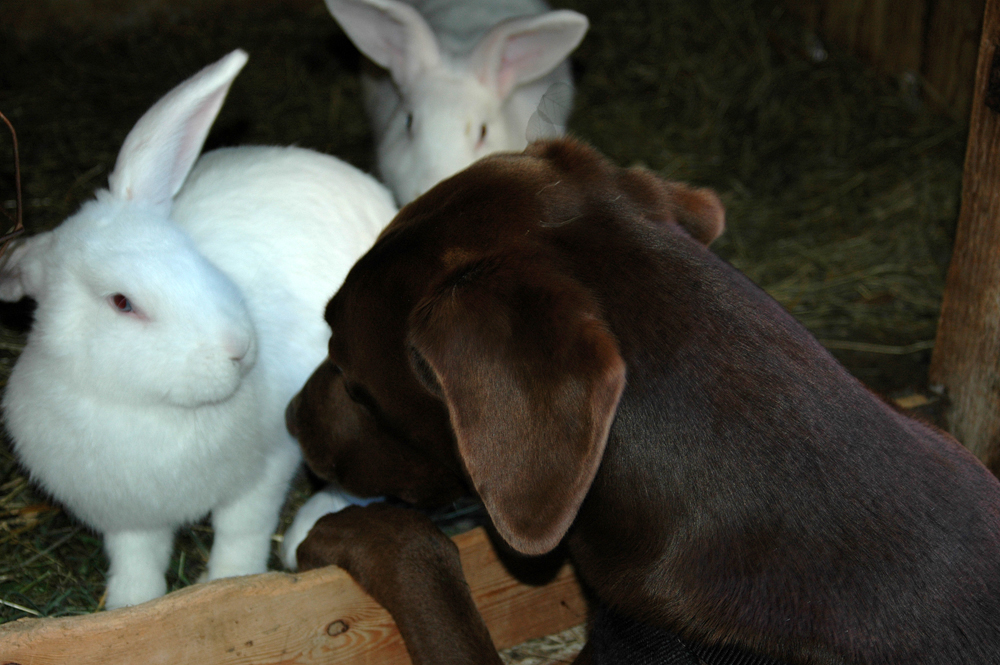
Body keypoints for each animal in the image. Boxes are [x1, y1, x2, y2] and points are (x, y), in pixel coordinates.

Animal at [0, 52, 398, 608]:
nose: (239, 349)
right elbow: (137, 559)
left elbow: (241, 530)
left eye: (194, 255)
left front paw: (233, 583)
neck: (146, 408)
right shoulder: (128, 516)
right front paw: (131, 606)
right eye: (123, 303)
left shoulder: (265, 471)